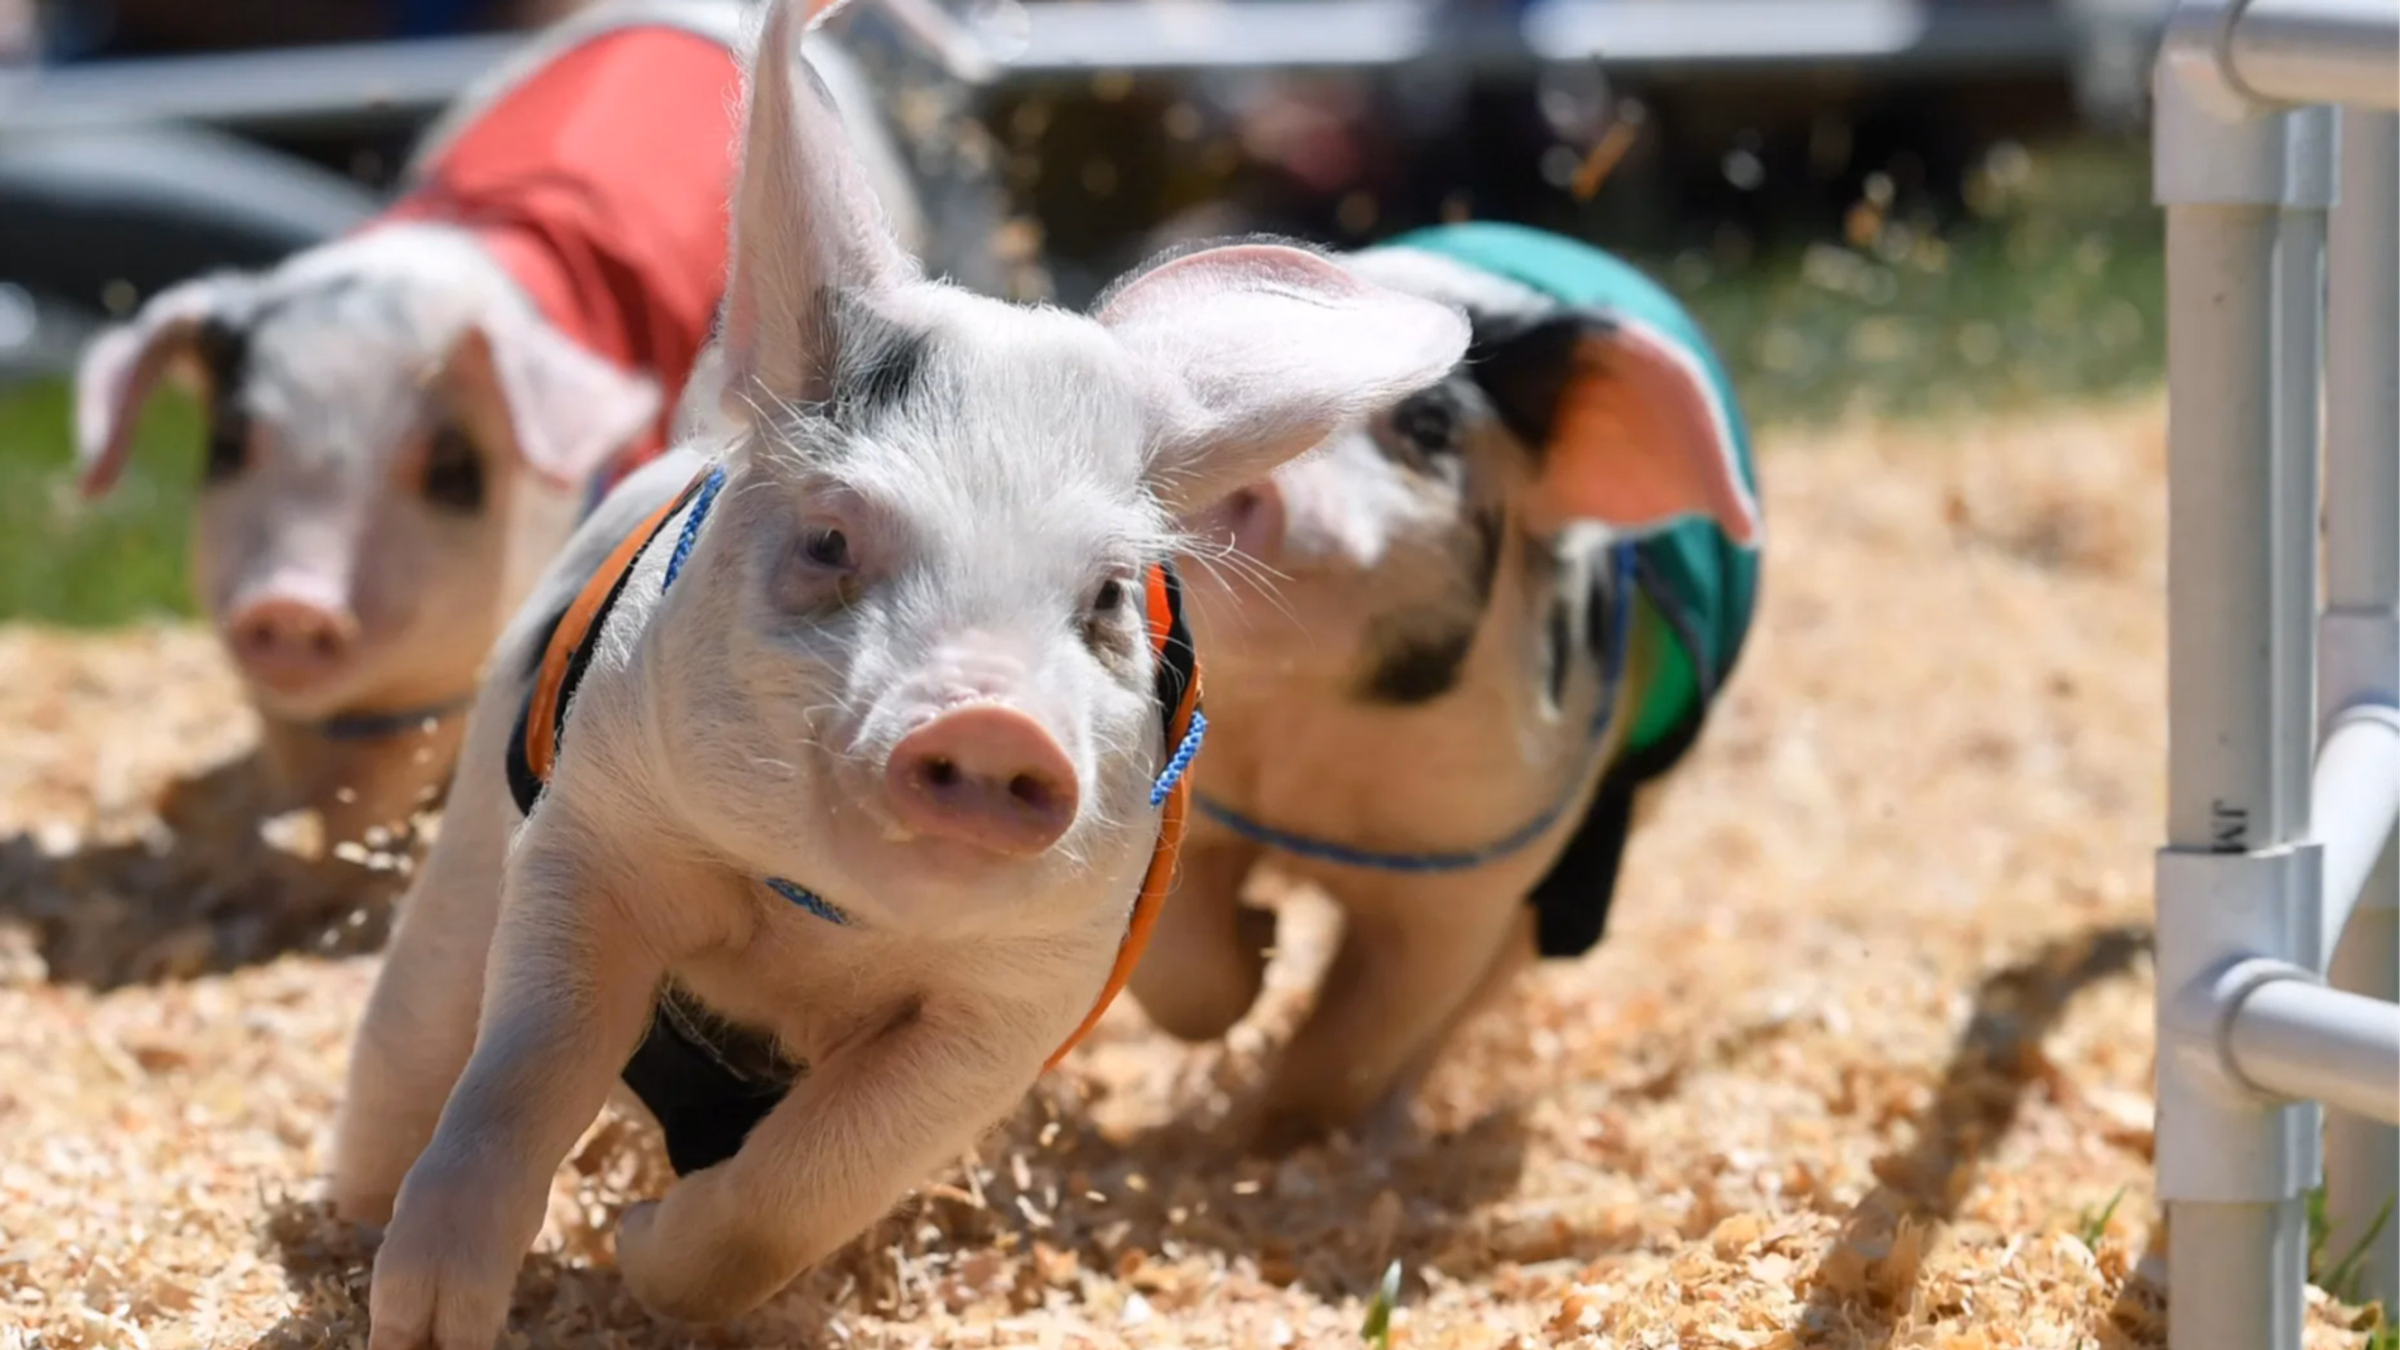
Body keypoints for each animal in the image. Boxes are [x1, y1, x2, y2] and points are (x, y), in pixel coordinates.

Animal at [326, 0, 1471, 1342]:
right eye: (831, 539)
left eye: (1103, 597)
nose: (994, 723)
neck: (823, 934)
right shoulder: (594, 828)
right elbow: (529, 1065)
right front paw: (430, 1319)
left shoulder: (1025, 996)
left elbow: (810, 1184)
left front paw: (643, 1252)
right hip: (471, 835)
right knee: (419, 1023)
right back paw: (342, 1231)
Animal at [1133, 222, 1765, 1147]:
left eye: (1430, 424)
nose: (1244, 474)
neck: (1307, 745)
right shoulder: (1198, 794)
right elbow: (1181, 972)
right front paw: (1260, 941)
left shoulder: (1474, 872)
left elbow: (1359, 1037)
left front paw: (1264, 1143)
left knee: (1469, 1005)